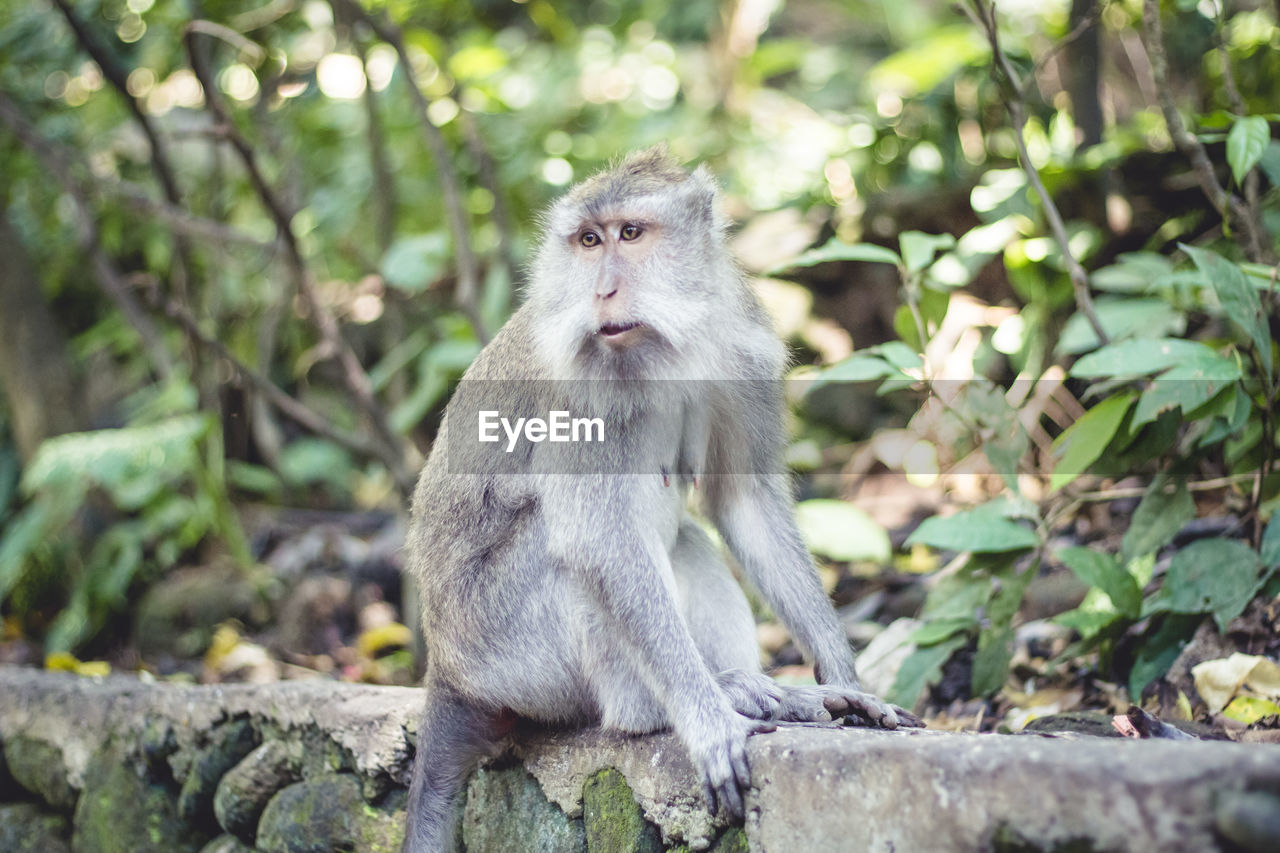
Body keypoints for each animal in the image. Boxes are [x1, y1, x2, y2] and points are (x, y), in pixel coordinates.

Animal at [404, 149, 916, 845]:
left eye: (630, 234)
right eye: (588, 242)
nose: (602, 291)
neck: (669, 342)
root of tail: (446, 670)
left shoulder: (742, 349)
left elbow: (744, 502)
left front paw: (842, 676)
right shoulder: (582, 387)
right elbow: (598, 544)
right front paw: (706, 719)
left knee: (685, 541)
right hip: (506, 654)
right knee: (571, 558)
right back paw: (669, 706)